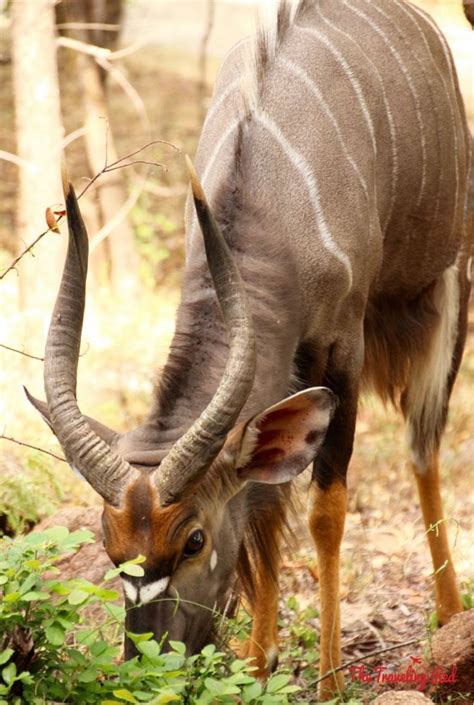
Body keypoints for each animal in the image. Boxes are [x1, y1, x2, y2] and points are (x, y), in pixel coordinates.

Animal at [27, 0, 472, 696]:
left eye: (193, 539)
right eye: (107, 542)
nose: (151, 663)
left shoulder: (342, 350)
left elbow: (324, 512)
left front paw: (329, 684)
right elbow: (264, 510)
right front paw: (258, 666)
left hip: (448, 285)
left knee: (423, 443)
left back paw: (450, 615)